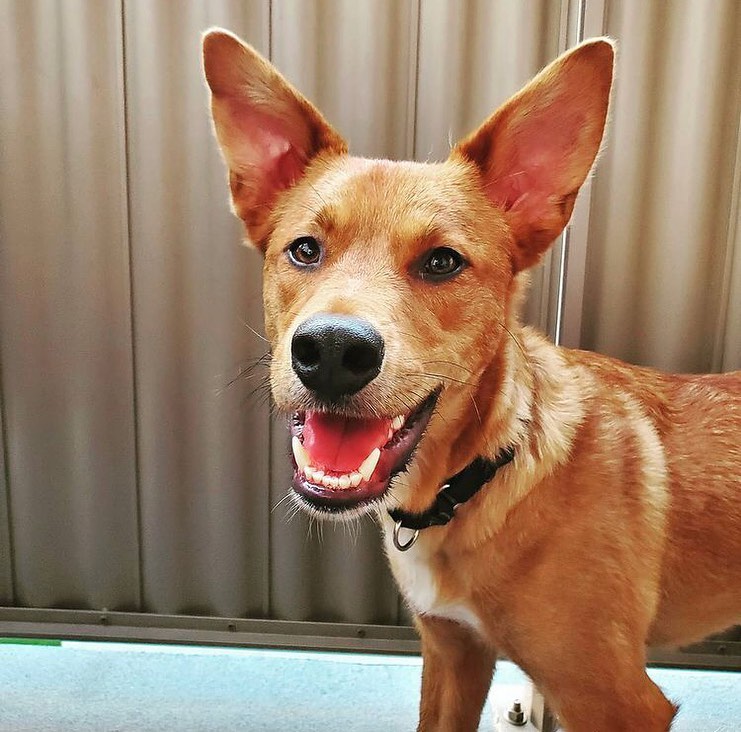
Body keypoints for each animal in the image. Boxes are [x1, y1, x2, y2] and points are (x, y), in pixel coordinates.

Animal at [202, 30, 740, 732]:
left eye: (442, 262)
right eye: (305, 250)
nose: (332, 352)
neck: (475, 481)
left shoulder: (620, 702)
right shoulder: (453, 652)